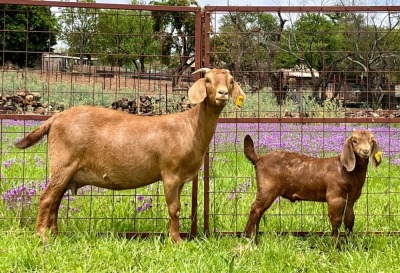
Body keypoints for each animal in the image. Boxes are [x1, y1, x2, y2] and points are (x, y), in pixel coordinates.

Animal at [15, 68, 245, 242]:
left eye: (231, 81)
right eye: (207, 80)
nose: (223, 93)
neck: (190, 126)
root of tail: (55, 119)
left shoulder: (180, 178)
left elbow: (177, 208)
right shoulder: (170, 173)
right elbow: (173, 208)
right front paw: (176, 240)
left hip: (68, 171)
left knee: (56, 200)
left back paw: (56, 234)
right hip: (63, 163)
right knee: (47, 198)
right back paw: (42, 236)